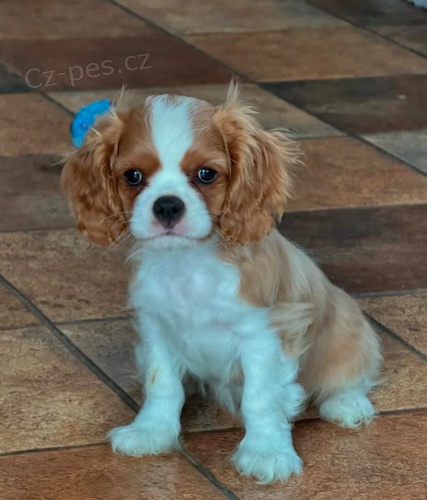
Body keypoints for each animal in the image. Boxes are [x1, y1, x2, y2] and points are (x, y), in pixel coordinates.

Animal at [61, 84, 381, 484]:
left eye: (206, 174)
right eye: (133, 176)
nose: (167, 206)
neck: (188, 262)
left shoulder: (263, 337)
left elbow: (261, 398)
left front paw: (266, 453)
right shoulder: (156, 329)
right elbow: (161, 384)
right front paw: (152, 431)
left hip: (350, 328)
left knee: (352, 375)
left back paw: (347, 404)